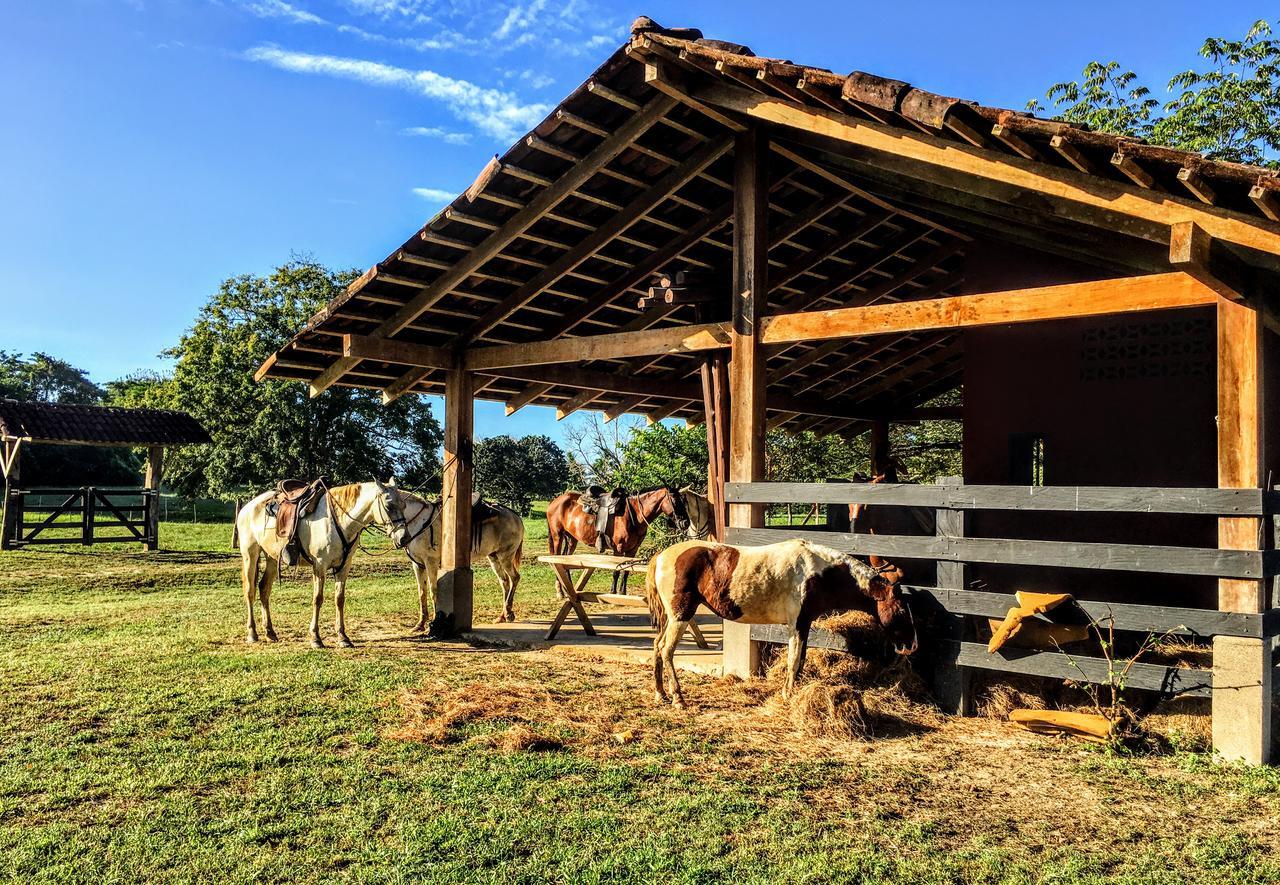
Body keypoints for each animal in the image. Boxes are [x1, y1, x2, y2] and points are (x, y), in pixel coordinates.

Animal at [234, 481, 404, 648]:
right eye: (389, 506)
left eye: (403, 504)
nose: (403, 538)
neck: (339, 521)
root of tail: (247, 508)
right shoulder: (320, 565)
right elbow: (318, 599)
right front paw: (315, 638)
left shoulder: (344, 566)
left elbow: (339, 599)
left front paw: (343, 637)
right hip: (250, 555)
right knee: (250, 591)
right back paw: (252, 633)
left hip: (272, 558)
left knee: (264, 589)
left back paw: (270, 632)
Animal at [394, 491, 524, 630]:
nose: (399, 540)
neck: (420, 522)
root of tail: (516, 516)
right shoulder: (418, 565)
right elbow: (422, 592)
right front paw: (420, 624)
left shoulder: (430, 562)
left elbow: (433, 591)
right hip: (494, 557)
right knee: (504, 582)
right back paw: (502, 616)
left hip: (506, 556)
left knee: (514, 578)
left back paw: (509, 613)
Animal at [547, 489, 691, 558]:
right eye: (675, 501)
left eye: (684, 500)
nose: (686, 522)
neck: (634, 515)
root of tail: (554, 502)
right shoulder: (619, 549)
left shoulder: (632, 550)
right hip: (557, 536)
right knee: (555, 557)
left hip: (571, 539)